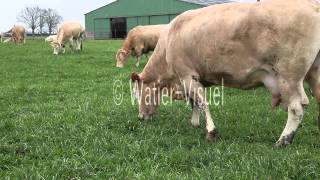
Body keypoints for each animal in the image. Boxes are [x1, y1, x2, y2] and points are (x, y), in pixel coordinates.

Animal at [131, 0, 320, 147]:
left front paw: (211, 132)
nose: (140, 116)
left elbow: (202, 103)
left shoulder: (187, 75)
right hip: (313, 74)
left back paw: (283, 140)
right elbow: (194, 103)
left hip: (289, 76)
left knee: (296, 107)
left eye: (138, 93)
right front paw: (194, 123)